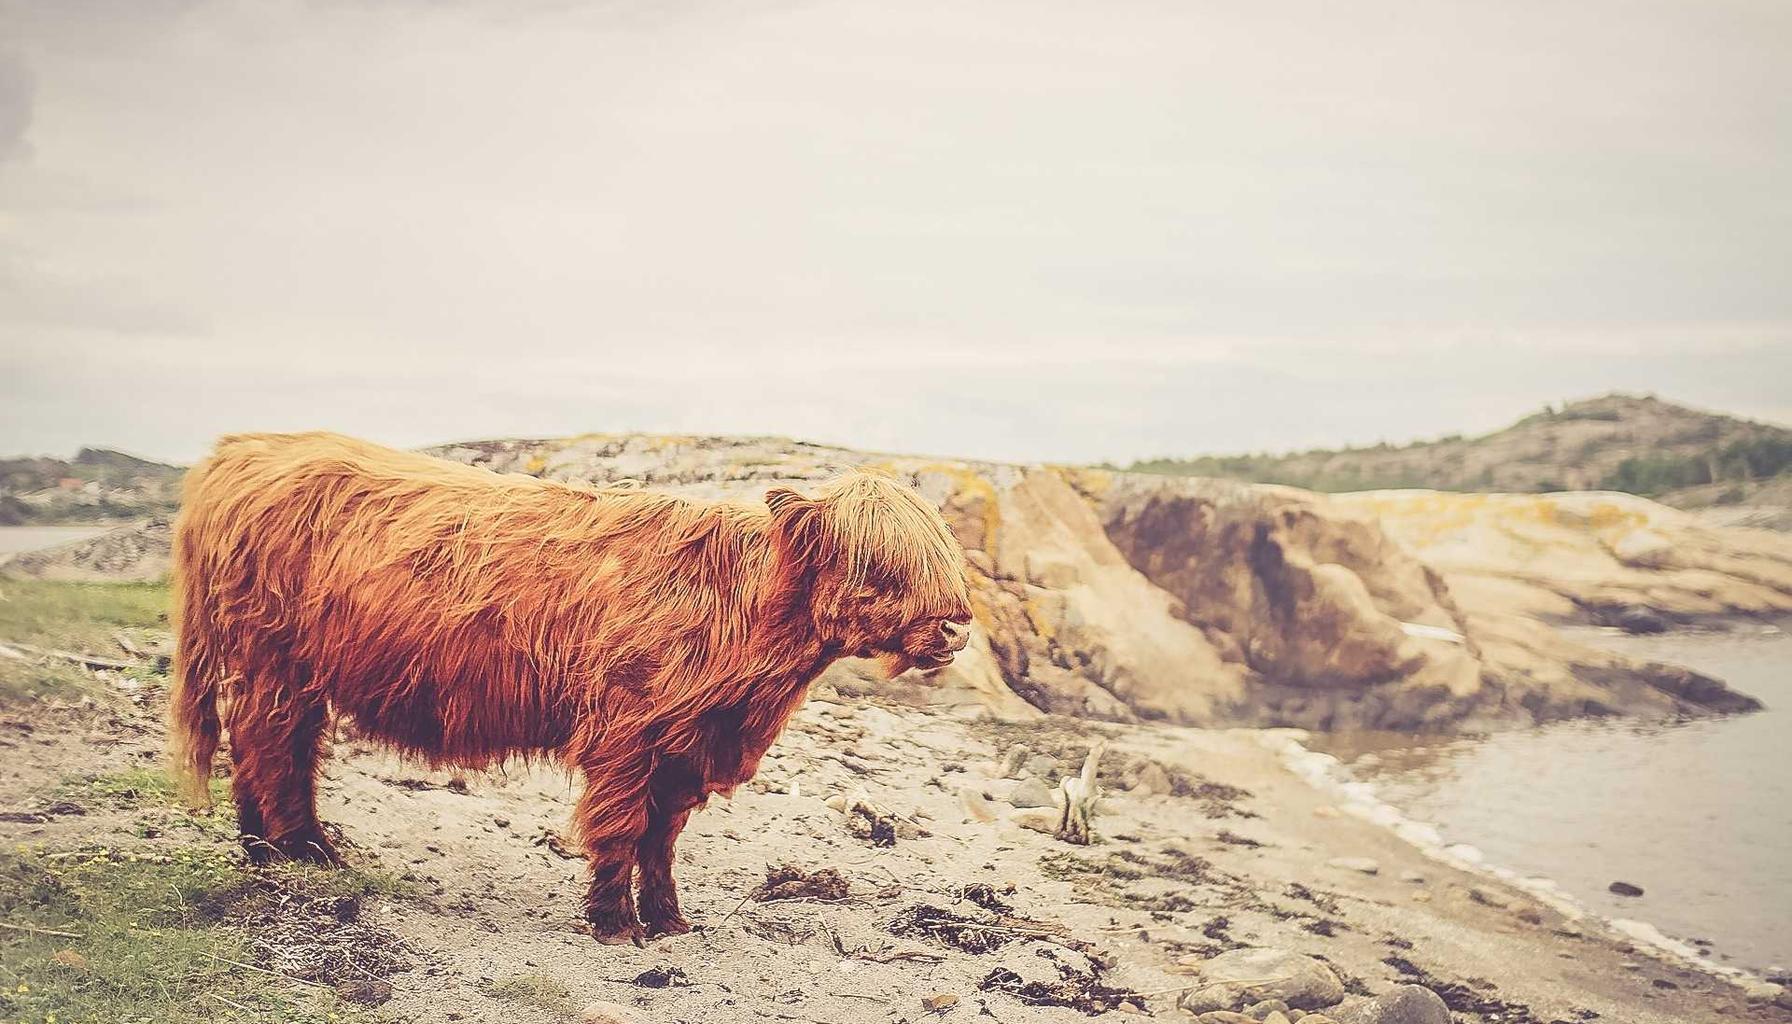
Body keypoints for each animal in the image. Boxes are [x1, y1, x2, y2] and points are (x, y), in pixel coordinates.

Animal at [171, 432, 967, 946]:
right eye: (879, 565)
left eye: (942, 556)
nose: (957, 626)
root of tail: (241, 450)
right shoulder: (626, 731)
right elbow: (620, 826)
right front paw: (614, 924)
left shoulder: (686, 745)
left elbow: (661, 839)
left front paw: (669, 920)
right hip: (273, 657)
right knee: (271, 743)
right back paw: (302, 851)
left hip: (293, 667)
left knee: (274, 746)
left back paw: (267, 848)